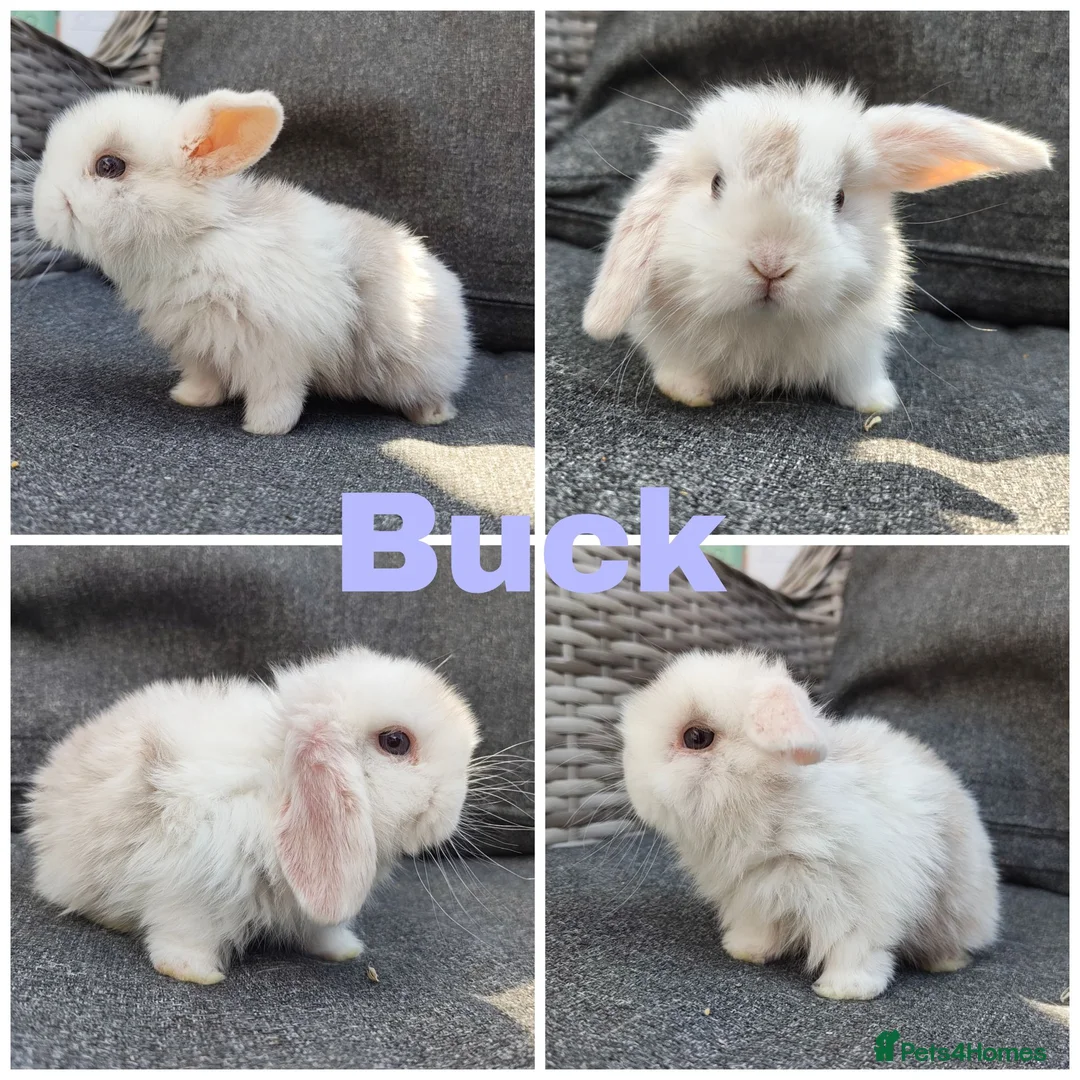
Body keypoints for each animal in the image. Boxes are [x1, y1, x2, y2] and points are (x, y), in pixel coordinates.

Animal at [25, 645, 479, 984]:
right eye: (396, 742)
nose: (452, 808)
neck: (280, 781)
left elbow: (321, 929)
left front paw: (344, 950)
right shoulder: (189, 885)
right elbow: (183, 933)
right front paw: (194, 972)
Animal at [32, 88, 472, 435]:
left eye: (109, 166)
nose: (42, 209)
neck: (197, 237)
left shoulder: (276, 350)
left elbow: (278, 395)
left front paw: (264, 428)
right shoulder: (197, 345)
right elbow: (204, 378)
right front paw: (189, 399)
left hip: (422, 369)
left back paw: (432, 415)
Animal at [583, 79, 1053, 414]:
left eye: (840, 198)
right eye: (716, 184)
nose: (771, 264)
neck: (767, 327)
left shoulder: (861, 347)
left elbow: (859, 378)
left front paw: (877, 402)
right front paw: (687, 393)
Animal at [620, 649, 999, 1000]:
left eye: (697, 737)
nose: (632, 782)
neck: (774, 811)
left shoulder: (864, 900)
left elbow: (856, 947)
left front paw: (846, 990)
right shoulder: (757, 894)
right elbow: (760, 928)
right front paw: (744, 950)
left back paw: (946, 962)